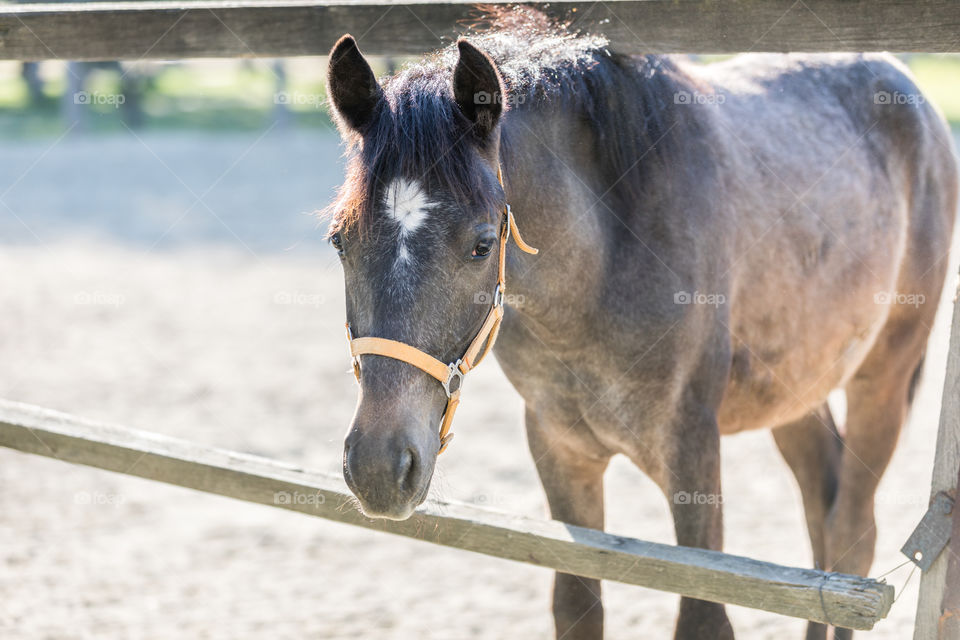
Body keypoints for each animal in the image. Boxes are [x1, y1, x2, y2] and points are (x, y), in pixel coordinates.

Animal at [320, 11, 952, 640]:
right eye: (339, 241)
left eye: (481, 245)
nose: (379, 467)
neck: (601, 268)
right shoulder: (561, 449)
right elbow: (578, 604)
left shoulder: (691, 451)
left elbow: (703, 615)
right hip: (796, 390)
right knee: (822, 519)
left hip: (882, 380)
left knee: (851, 537)